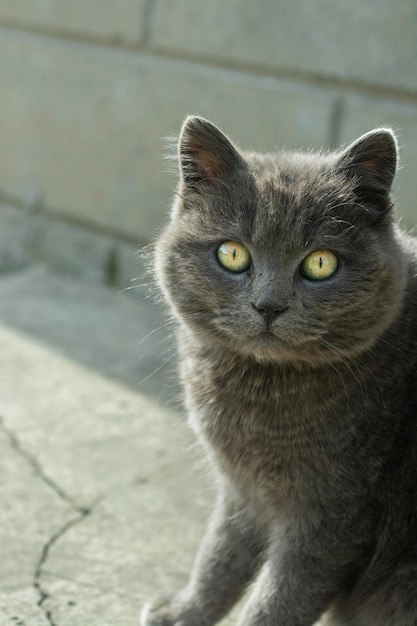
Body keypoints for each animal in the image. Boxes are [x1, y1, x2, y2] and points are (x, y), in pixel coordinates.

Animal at [141, 117, 416, 624]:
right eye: (232, 254)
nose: (269, 305)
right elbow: (219, 553)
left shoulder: (335, 514)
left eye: (321, 263)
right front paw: (185, 612)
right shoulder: (241, 490)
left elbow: (279, 599)